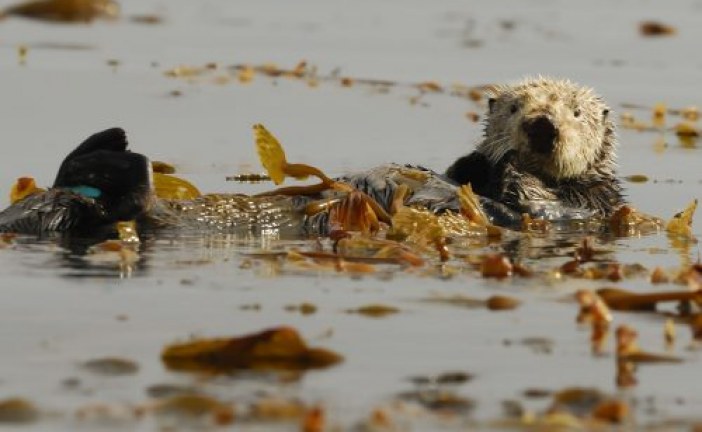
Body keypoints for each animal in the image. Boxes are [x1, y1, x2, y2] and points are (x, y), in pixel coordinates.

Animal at [446, 77, 624, 216]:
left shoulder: (597, 198)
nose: (542, 125)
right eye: (513, 108)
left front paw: (513, 164)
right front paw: (474, 163)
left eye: (577, 112)